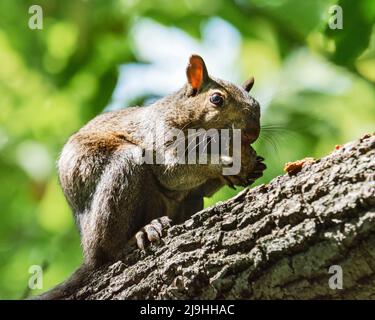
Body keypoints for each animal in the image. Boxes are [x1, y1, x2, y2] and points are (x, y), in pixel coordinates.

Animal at [38, 55, 266, 300]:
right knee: (108, 250)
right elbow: (172, 171)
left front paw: (251, 168)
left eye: (258, 105)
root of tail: (88, 253)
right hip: (121, 172)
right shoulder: (159, 133)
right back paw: (140, 234)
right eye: (216, 99)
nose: (253, 132)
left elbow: (201, 188)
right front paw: (227, 164)